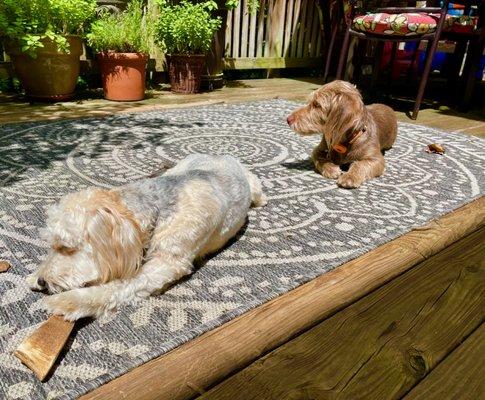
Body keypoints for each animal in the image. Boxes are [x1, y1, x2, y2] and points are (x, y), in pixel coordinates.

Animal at [27, 155, 264, 320]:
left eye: (67, 247)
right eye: (52, 245)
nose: (42, 281)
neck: (158, 207)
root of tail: (222, 155)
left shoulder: (166, 262)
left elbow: (118, 286)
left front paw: (69, 301)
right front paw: (34, 275)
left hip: (255, 186)